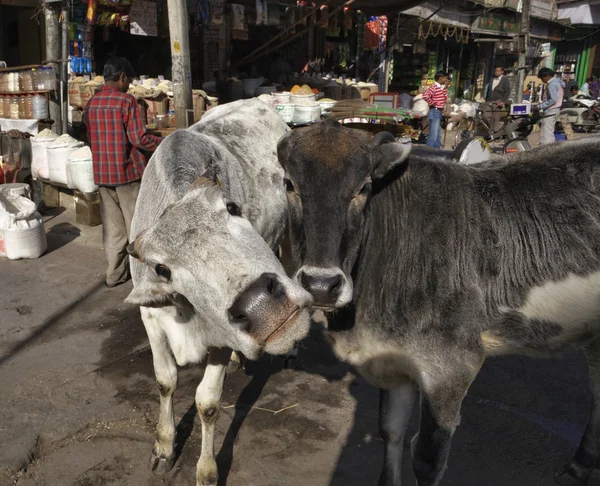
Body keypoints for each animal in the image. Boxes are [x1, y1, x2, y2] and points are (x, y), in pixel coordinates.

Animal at [127, 99, 314, 486]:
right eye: (163, 269)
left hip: (291, 235)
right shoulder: (151, 318)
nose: (263, 307)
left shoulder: (220, 337)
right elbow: (165, 381)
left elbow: (207, 402)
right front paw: (164, 446)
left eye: (232, 208)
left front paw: (206, 470)